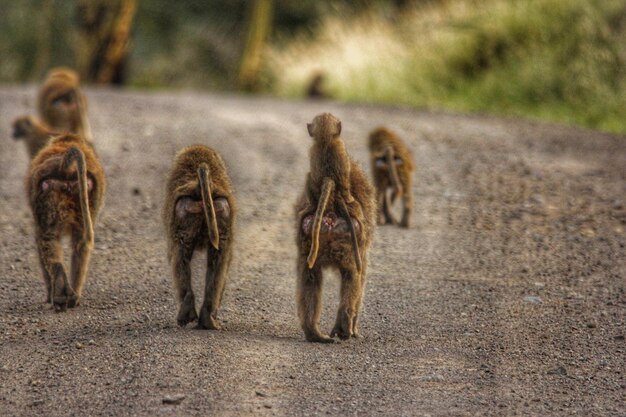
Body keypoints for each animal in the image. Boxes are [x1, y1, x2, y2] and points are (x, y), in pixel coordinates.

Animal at [26, 132, 105, 310]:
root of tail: (65, 166)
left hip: (49, 193)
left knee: (46, 239)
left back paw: (58, 292)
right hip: (82, 195)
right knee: (81, 244)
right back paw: (72, 296)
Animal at [162, 145, 235, 330]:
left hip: (185, 212)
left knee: (179, 257)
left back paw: (187, 314)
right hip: (216, 212)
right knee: (216, 264)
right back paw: (207, 318)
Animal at [294, 112, 372, 342]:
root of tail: (329, 212)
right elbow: (360, 279)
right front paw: (355, 330)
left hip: (311, 239)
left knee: (309, 277)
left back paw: (313, 332)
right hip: (348, 239)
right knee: (353, 276)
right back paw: (345, 326)